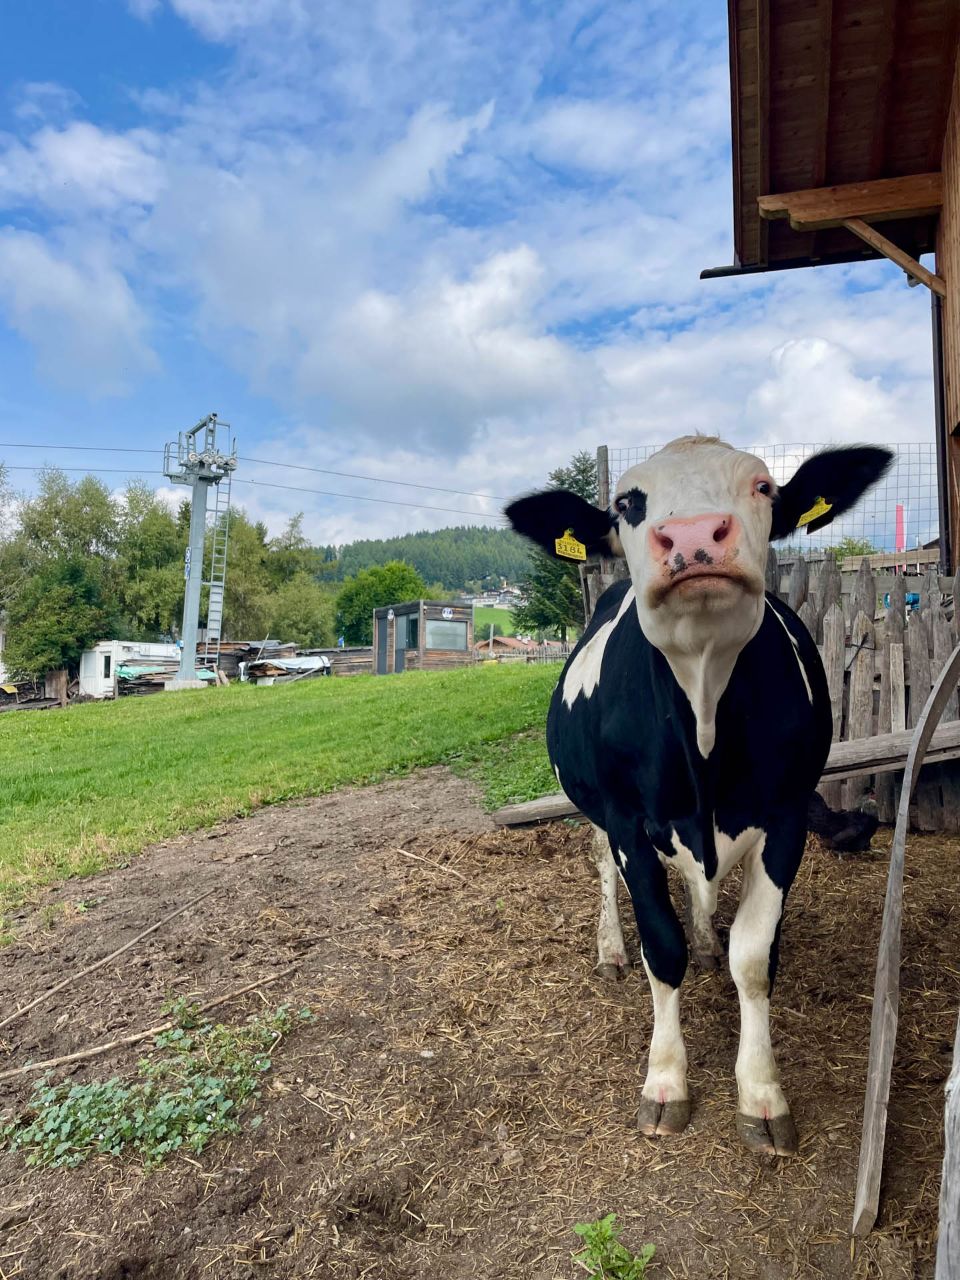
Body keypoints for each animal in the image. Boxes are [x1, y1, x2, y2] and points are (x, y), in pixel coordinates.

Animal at [506, 436, 892, 1156]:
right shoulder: (629, 822)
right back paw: (610, 949)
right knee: (602, 870)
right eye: (627, 503)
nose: (689, 535)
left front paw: (762, 1095)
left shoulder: (786, 814)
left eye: (764, 486)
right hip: (595, 809)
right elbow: (661, 949)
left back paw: (707, 938)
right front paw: (665, 1082)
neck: (705, 702)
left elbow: (753, 957)